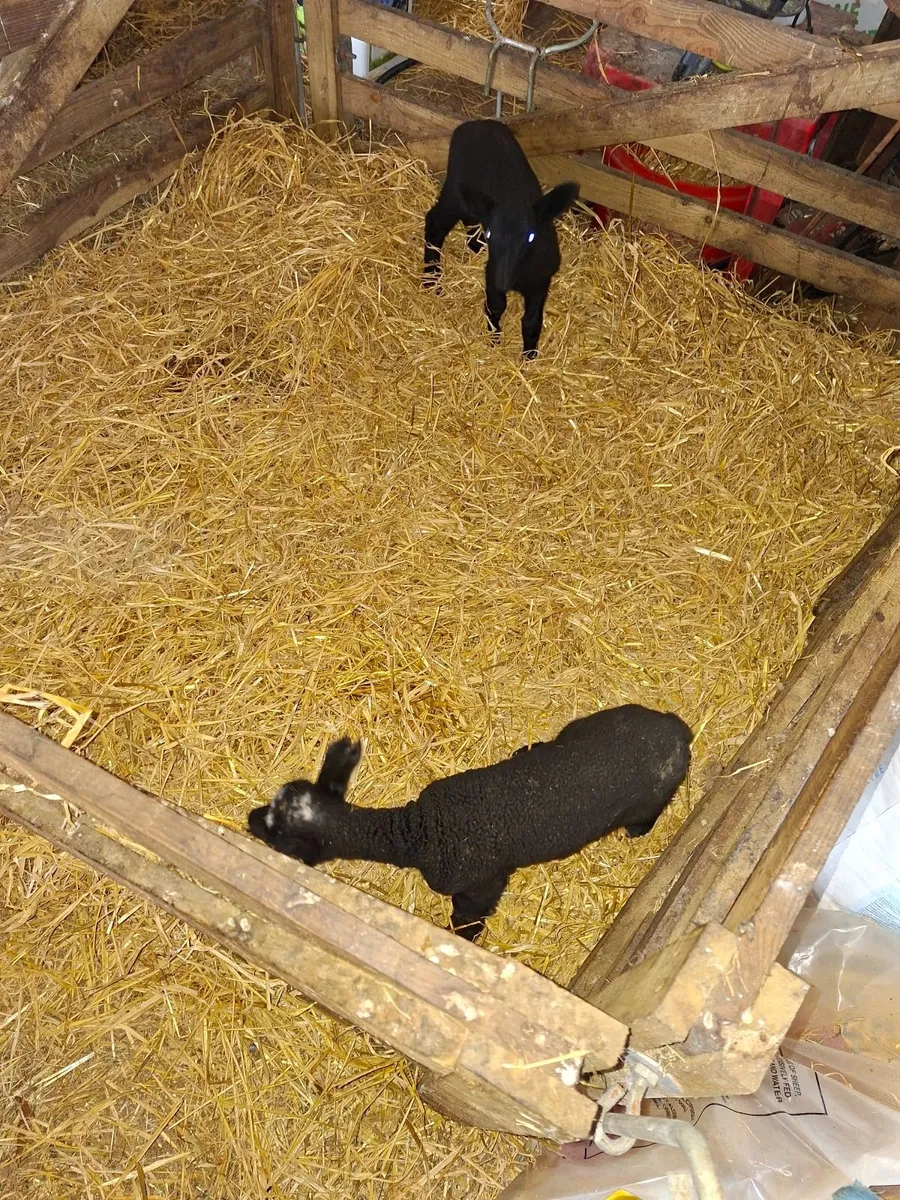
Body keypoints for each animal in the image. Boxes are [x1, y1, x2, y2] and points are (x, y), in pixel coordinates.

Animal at [247, 704, 693, 942]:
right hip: (587, 725)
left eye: (280, 836)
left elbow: (469, 920)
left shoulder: (481, 884)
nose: (249, 819)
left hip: (647, 802)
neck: (421, 831)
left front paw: (462, 942)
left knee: (645, 818)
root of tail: (675, 728)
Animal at [423, 119, 579, 359]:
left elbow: (532, 321)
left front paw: (529, 356)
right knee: (435, 224)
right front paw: (494, 340)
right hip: (455, 190)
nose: (504, 280)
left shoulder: (541, 281)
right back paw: (432, 278)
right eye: (491, 234)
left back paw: (475, 246)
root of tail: (473, 123)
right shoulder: (492, 273)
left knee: (469, 218)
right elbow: (496, 306)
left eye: (531, 236)